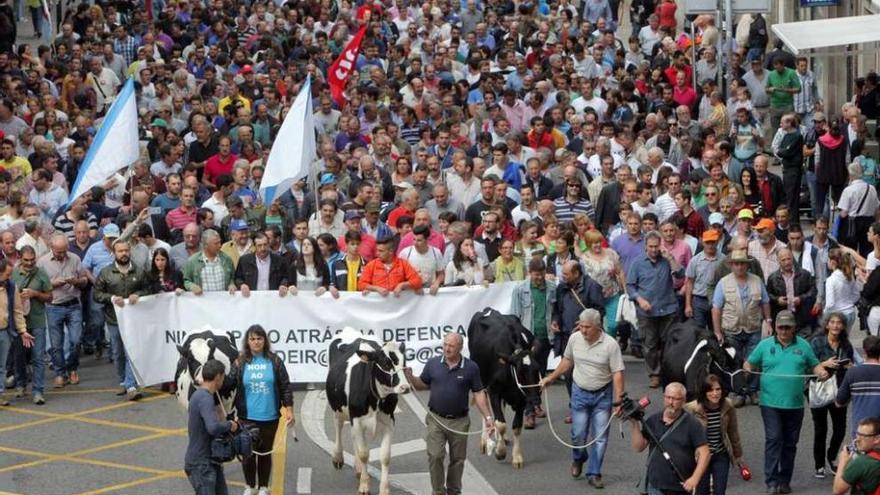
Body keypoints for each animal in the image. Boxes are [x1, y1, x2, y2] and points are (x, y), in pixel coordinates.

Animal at [324, 328, 410, 494]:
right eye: (386, 363)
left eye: (404, 362)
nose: (405, 387)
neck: (376, 399)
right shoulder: (357, 420)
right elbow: (364, 454)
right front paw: (364, 485)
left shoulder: (389, 422)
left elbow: (385, 456)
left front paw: (384, 489)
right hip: (338, 407)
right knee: (338, 425)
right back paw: (338, 457)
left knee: (353, 437)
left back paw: (357, 468)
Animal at [468, 310, 544, 468]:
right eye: (520, 372)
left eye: (537, 369)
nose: (535, 400)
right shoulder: (494, 391)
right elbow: (500, 423)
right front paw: (500, 452)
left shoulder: (521, 398)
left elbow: (516, 426)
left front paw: (517, 457)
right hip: (481, 381)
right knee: (484, 408)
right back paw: (485, 441)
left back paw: (502, 438)